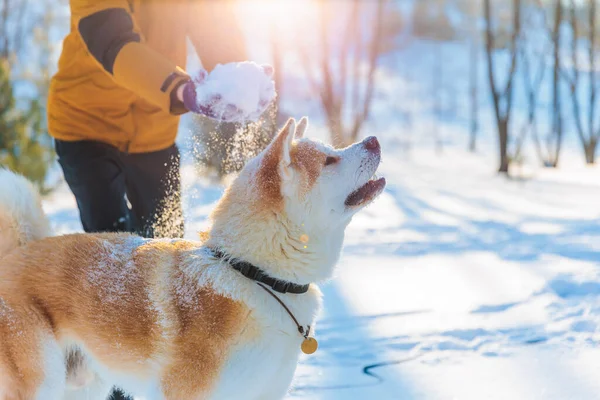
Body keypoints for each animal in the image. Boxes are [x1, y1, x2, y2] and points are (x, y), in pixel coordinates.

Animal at [0, 117, 384, 398]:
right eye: (329, 160)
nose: (374, 140)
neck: (255, 274)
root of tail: (15, 253)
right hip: (42, 383)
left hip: (83, 386)